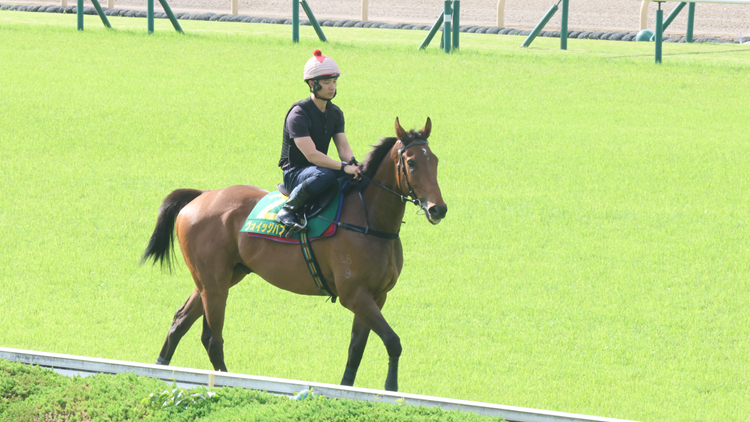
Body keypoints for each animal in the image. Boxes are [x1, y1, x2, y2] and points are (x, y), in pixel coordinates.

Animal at [140, 116, 446, 392]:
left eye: (435, 161)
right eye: (411, 162)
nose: (438, 209)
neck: (369, 220)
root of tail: (201, 196)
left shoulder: (376, 296)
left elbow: (356, 350)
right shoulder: (354, 295)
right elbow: (393, 341)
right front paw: (391, 388)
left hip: (218, 278)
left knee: (180, 322)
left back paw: (158, 368)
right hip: (215, 284)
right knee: (213, 339)